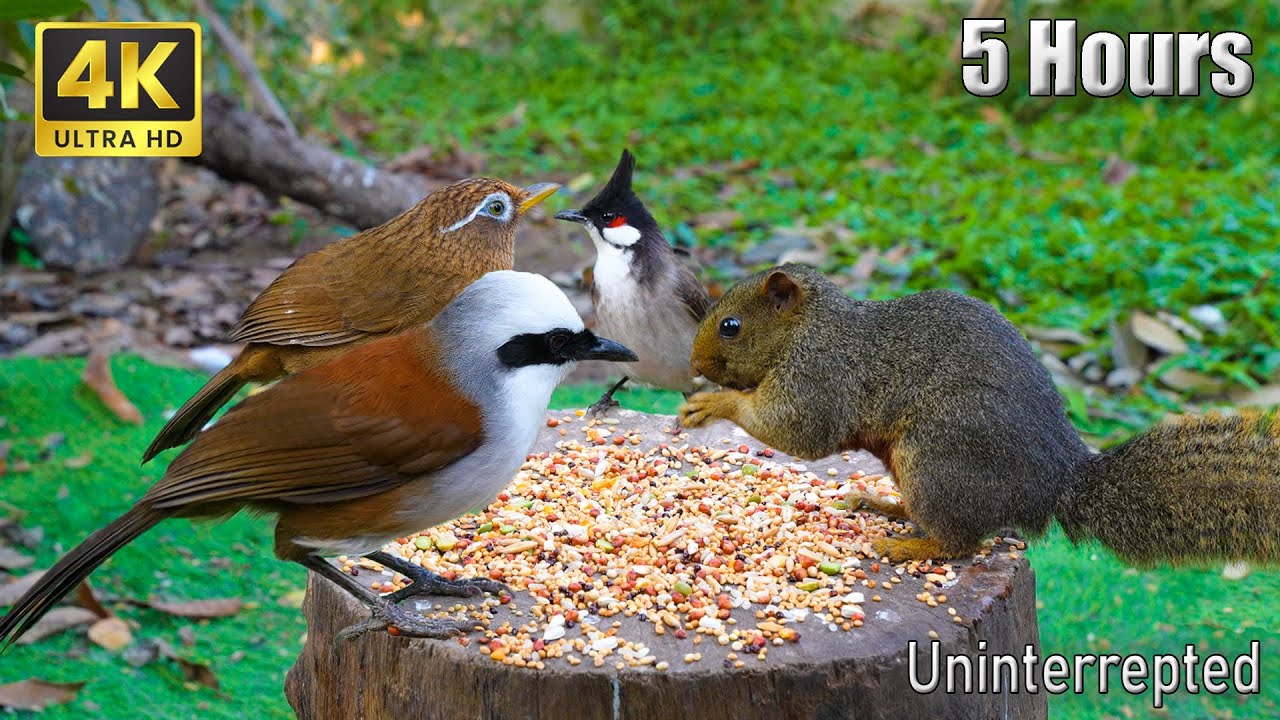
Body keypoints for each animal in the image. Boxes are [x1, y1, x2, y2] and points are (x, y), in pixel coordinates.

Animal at [678, 264, 1280, 565]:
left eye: (730, 326)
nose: (695, 363)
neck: (810, 327)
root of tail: (1056, 479)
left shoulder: (821, 374)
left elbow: (799, 430)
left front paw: (713, 402)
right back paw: (883, 505)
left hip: (940, 456)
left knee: (961, 543)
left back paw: (905, 545)